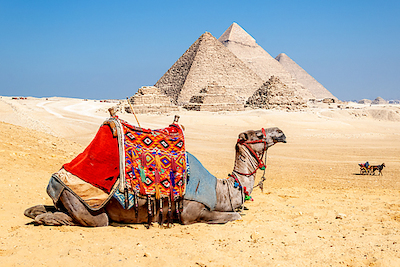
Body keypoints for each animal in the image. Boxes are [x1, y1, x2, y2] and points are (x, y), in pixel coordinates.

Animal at [24, 126, 284, 227]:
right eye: (255, 134)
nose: (280, 133)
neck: (221, 190)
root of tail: (58, 176)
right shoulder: (189, 212)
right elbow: (234, 216)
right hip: (86, 203)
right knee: (98, 220)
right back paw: (45, 219)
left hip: (64, 196)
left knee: (45, 208)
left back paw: (36, 212)